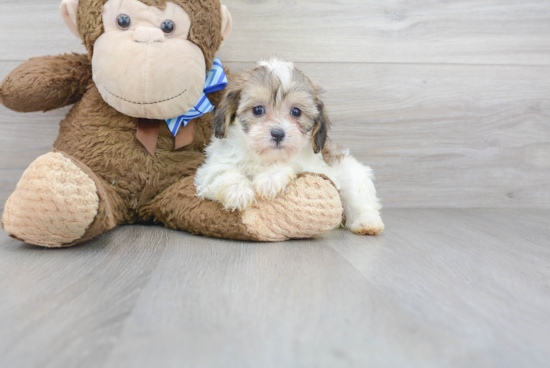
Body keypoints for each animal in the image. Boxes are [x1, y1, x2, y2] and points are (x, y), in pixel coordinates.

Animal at [196, 57, 386, 236]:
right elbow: (223, 174)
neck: (264, 157)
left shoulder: (320, 169)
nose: (278, 134)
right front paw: (238, 192)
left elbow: (291, 164)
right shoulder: (211, 170)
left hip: (352, 173)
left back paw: (367, 223)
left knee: (360, 199)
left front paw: (270, 178)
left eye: (296, 112)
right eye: (257, 110)